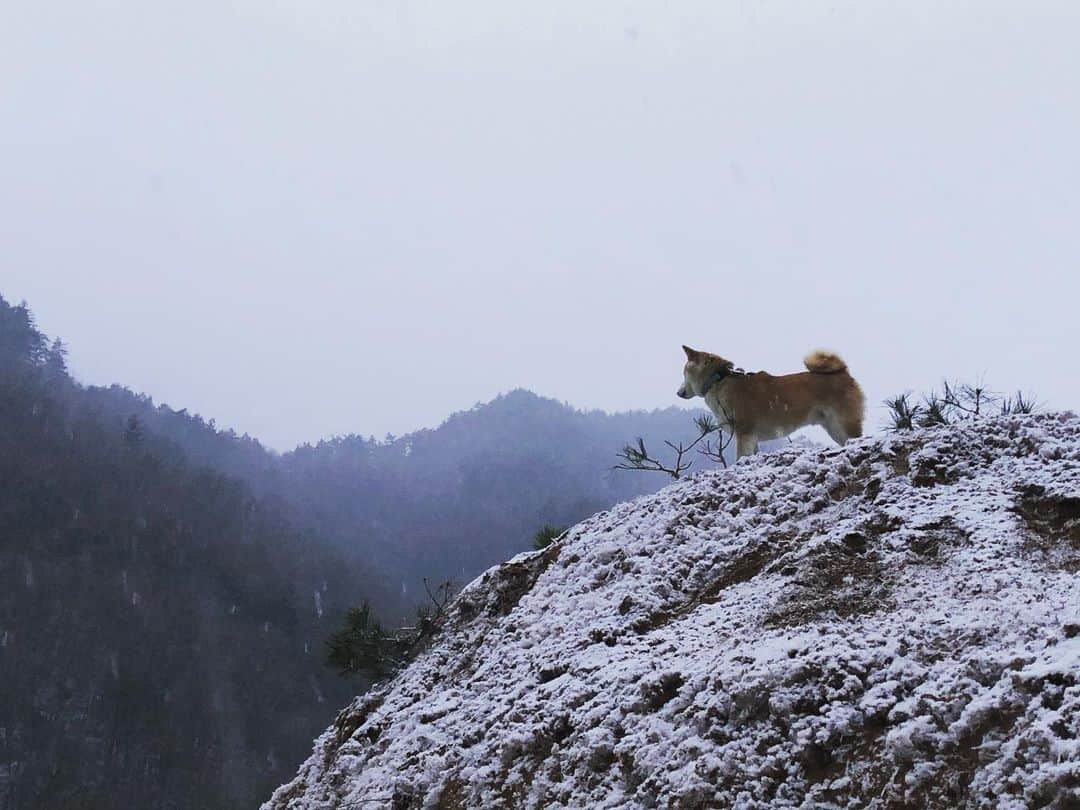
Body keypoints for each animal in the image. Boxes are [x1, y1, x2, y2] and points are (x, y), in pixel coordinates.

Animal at [678, 347, 864, 462]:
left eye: (683, 373)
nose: (678, 393)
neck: (718, 380)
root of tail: (843, 372)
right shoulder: (751, 438)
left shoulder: (744, 434)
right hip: (834, 428)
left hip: (844, 424)